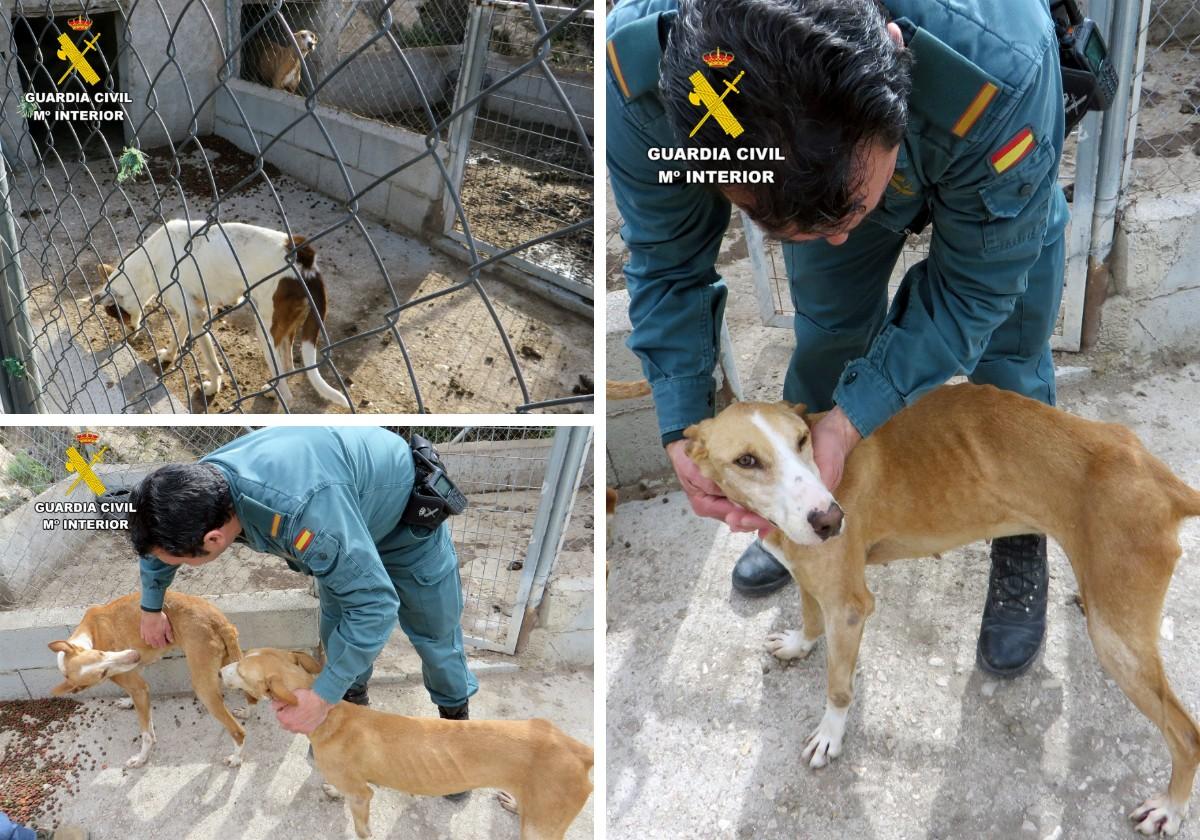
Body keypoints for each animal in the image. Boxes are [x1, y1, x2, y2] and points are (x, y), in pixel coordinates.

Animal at [48, 590, 249, 768]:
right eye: (102, 672)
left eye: (101, 653)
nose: (133, 655)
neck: (90, 631)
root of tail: (220, 622)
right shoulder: (139, 681)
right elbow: (143, 713)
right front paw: (127, 702)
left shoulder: (138, 686)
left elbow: (146, 735)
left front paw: (141, 758)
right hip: (232, 664)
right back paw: (246, 713)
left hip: (203, 687)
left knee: (238, 731)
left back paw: (236, 759)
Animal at [95, 218, 350, 408]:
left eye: (114, 315)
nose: (127, 337)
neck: (150, 260)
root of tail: (305, 259)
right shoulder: (195, 308)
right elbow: (178, 335)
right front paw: (168, 355)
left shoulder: (196, 315)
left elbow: (210, 361)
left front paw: (212, 387)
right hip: (283, 330)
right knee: (288, 368)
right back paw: (272, 390)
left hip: (265, 331)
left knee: (288, 395)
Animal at [220, 648, 595, 840]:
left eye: (240, 670)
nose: (220, 670)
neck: (330, 715)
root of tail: (577, 749)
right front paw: (332, 790)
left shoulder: (363, 796)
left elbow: (362, 828)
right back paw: (514, 804)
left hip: (541, 827)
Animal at [686, 384, 1200, 835]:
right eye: (747, 460)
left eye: (801, 441)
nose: (831, 519)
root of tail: (1161, 478)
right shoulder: (812, 580)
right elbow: (810, 616)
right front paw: (799, 642)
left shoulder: (849, 606)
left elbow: (838, 686)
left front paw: (830, 735)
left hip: (1115, 641)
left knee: (1187, 733)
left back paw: (1170, 809)